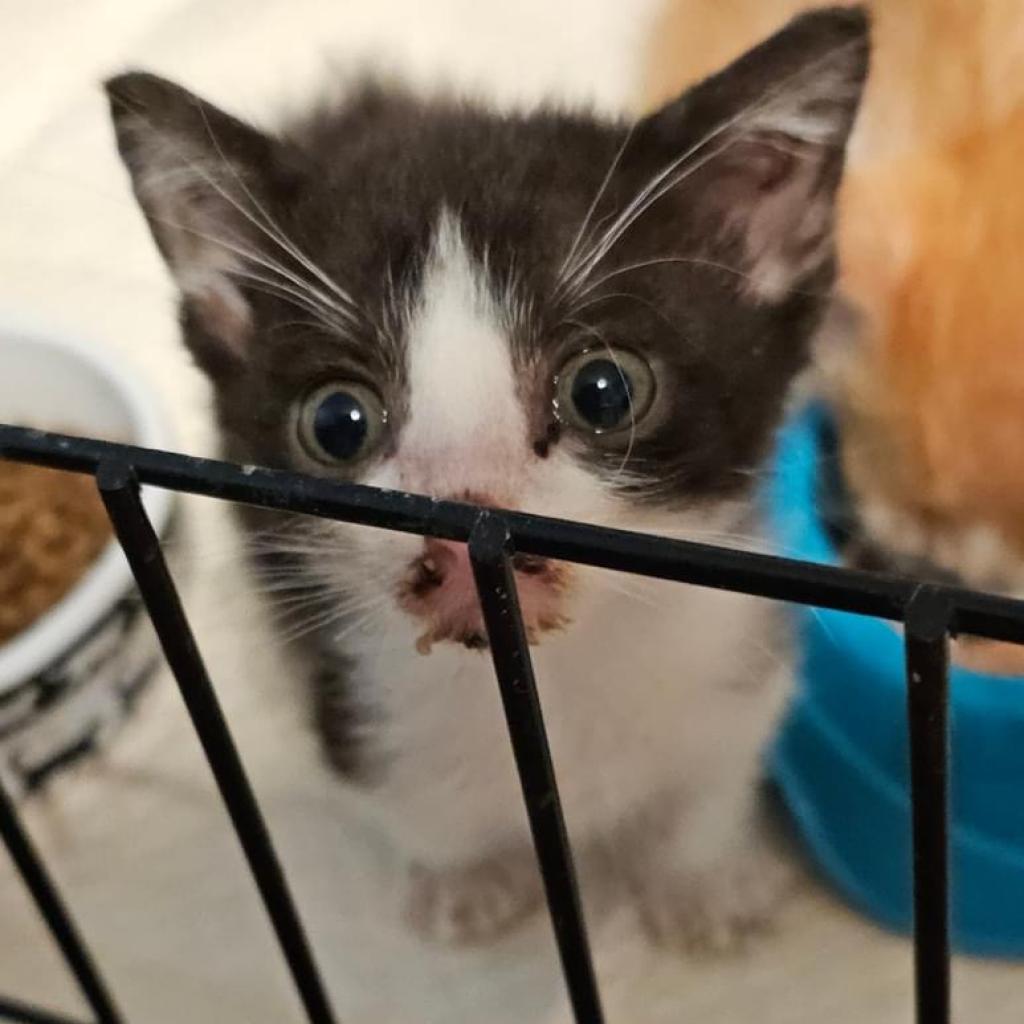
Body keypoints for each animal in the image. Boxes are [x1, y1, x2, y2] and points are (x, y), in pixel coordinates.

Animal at [108, 6, 868, 950]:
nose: (465, 521)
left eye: (605, 391)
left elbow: (711, 774)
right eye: (336, 422)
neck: (546, 681)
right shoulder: (358, 710)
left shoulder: (738, 670)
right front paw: (466, 881)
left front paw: (698, 882)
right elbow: (413, 802)